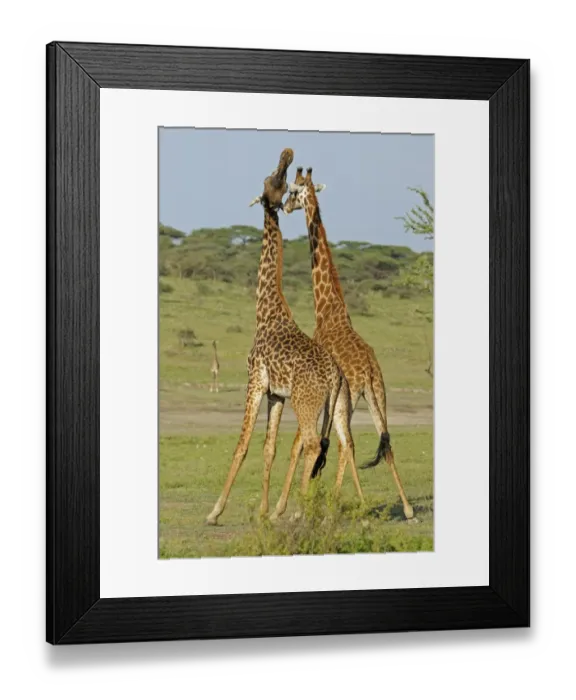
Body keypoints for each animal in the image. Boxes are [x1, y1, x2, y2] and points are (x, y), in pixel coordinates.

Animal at [206, 151, 363, 526]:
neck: (266, 309)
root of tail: (334, 376)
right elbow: (269, 447)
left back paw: (303, 510)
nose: (287, 155)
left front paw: (215, 511)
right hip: (336, 406)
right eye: (274, 179)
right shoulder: (276, 393)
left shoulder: (254, 381)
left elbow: (242, 445)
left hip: (305, 404)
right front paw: (263, 511)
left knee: (312, 444)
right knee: (336, 444)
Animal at [274, 166, 415, 521]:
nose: (285, 207)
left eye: (293, 192)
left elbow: (302, 443)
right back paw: (406, 508)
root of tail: (366, 370)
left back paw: (343, 505)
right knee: (384, 442)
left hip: (348, 399)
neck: (328, 309)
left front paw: (286, 507)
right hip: (378, 394)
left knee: (344, 443)